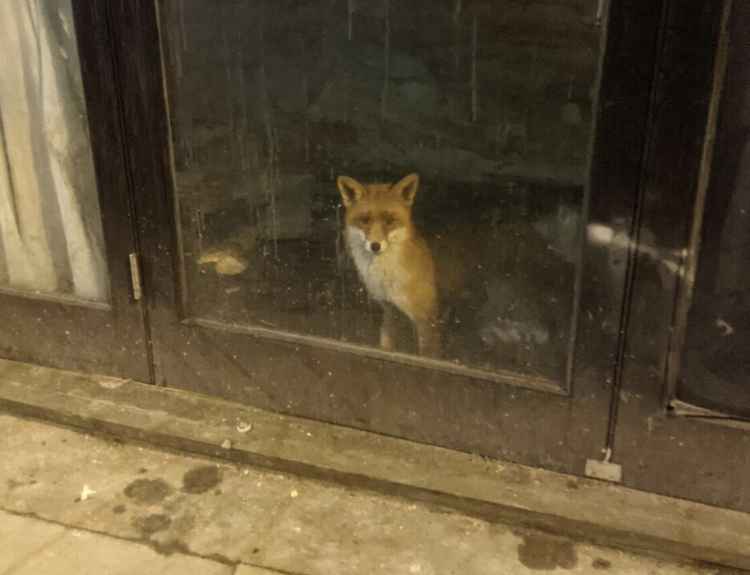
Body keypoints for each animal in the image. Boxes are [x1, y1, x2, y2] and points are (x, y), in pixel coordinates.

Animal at [340, 173, 444, 358]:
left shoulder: (427, 320)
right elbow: (386, 346)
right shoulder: (390, 309)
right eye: (364, 220)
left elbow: (428, 357)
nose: (375, 246)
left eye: (389, 221)